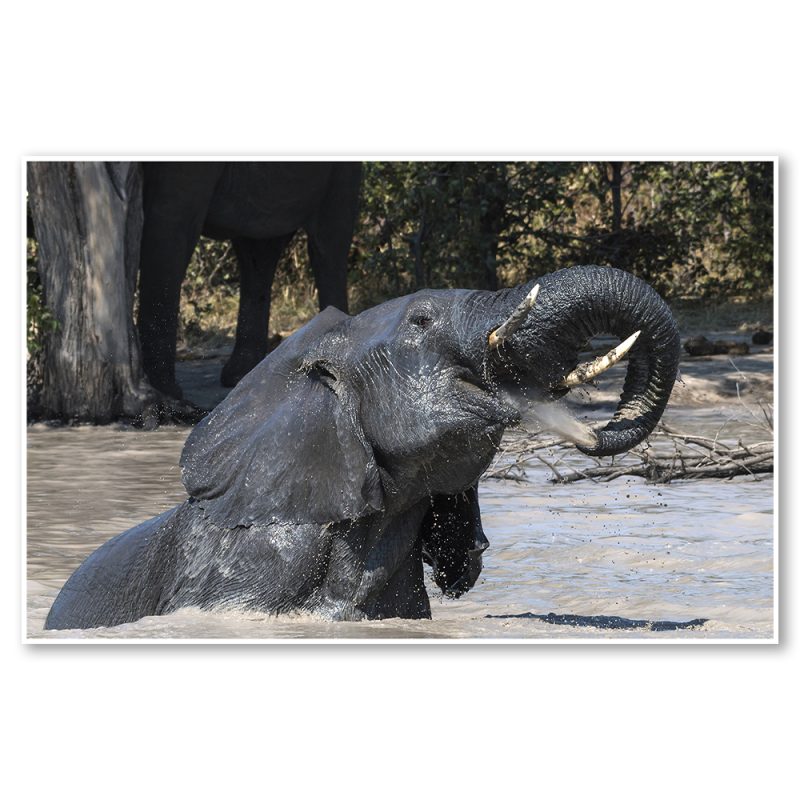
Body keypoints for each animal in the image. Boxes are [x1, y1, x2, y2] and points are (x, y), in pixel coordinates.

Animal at [137, 161, 362, 397]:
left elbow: (169, 226)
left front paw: (164, 392)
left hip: (340, 173)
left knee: (327, 246)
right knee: (259, 253)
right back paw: (241, 376)